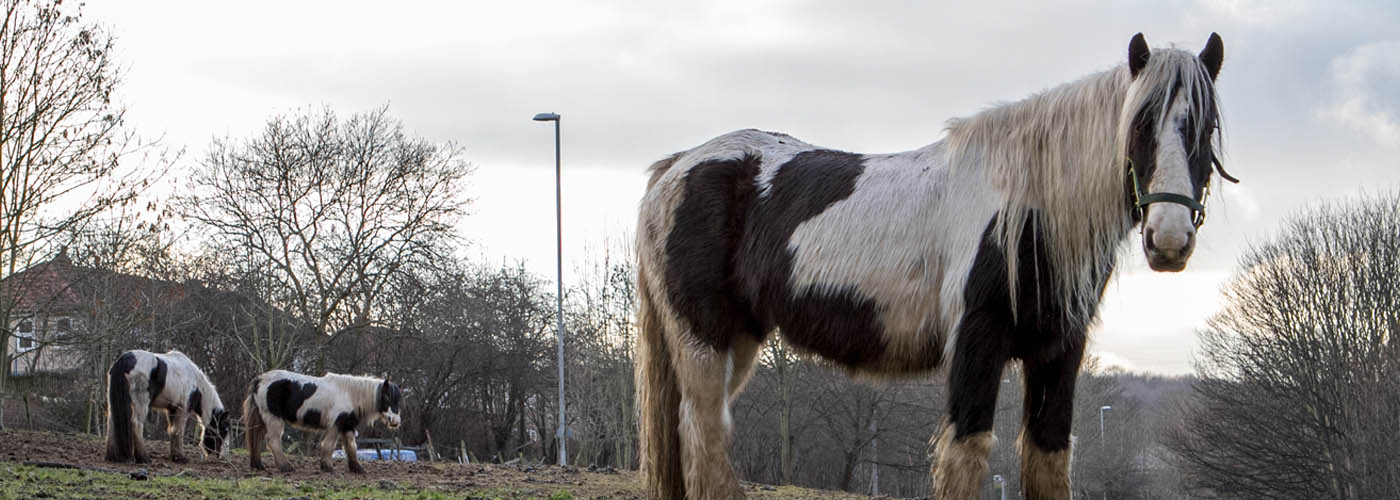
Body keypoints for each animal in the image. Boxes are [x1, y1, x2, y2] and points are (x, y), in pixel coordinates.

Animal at [242, 369, 400, 470]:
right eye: (387, 397)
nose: (395, 421)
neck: (350, 395)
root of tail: (260, 379)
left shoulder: (347, 426)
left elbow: (351, 446)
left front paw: (357, 468)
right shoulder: (336, 425)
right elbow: (329, 445)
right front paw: (327, 467)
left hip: (263, 419)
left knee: (257, 439)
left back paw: (258, 465)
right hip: (273, 419)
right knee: (273, 441)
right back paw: (285, 466)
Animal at [635, 33, 1237, 495]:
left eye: (1205, 129)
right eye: (1139, 126)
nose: (1169, 239)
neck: (1026, 206)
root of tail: (676, 166)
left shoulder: (1059, 350)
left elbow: (1048, 460)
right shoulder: (976, 342)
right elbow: (966, 456)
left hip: (737, 344)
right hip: (703, 341)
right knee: (706, 440)